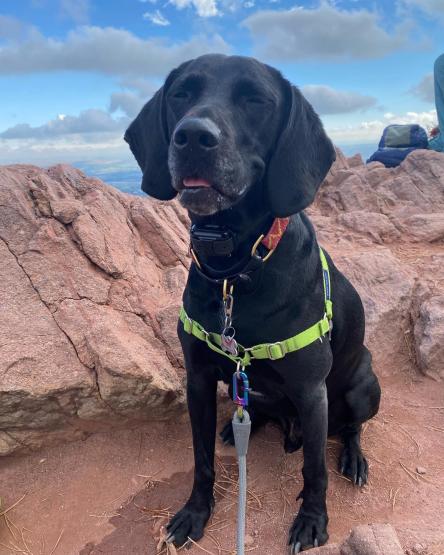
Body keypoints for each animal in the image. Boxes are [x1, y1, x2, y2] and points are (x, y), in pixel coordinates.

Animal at [125, 54, 382, 552]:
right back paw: (238, 426)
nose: (193, 136)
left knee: (350, 429)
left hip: (363, 387)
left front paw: (313, 522)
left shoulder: (311, 391)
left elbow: (314, 470)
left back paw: (355, 458)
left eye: (256, 100)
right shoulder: (198, 379)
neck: (234, 269)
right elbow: (201, 458)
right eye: (181, 94)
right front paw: (195, 513)